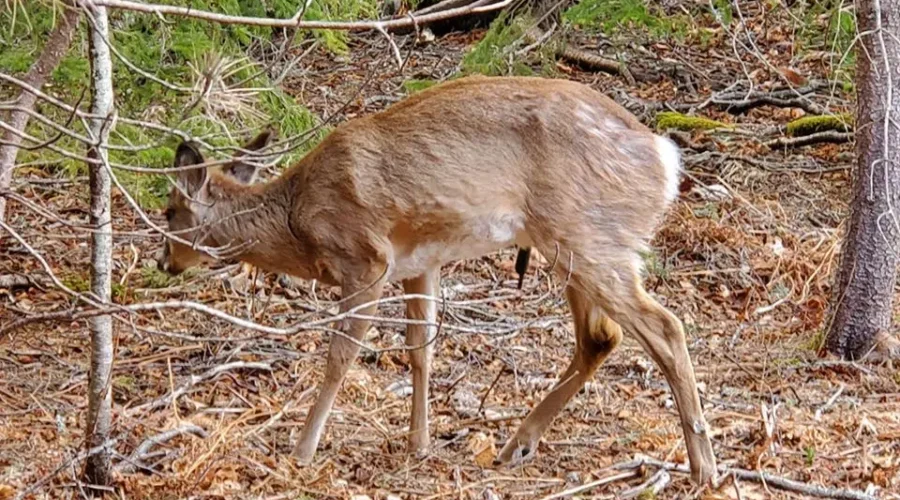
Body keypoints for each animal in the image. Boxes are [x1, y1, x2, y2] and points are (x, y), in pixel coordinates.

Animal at [157, 75, 717, 484]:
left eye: (168, 213)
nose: (164, 262)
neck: (299, 219)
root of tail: (665, 160)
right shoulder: (420, 263)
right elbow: (421, 350)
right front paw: (419, 444)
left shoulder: (366, 257)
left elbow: (340, 356)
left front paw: (302, 450)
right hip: (576, 245)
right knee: (601, 337)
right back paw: (516, 446)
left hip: (585, 234)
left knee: (664, 327)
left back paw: (703, 468)